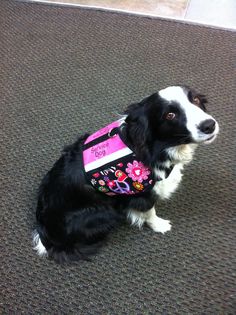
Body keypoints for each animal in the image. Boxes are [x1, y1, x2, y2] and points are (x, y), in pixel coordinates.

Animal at [33, 85, 219, 262]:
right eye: (170, 115)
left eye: (196, 99)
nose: (209, 125)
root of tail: (46, 238)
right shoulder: (142, 194)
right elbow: (150, 212)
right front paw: (159, 225)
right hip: (105, 213)